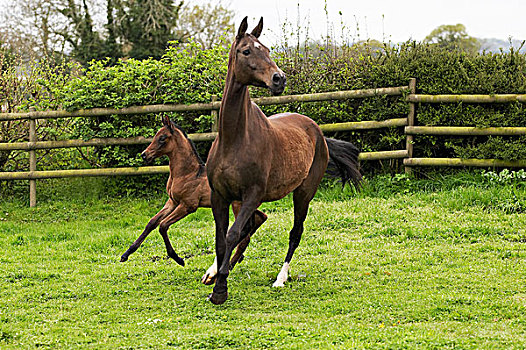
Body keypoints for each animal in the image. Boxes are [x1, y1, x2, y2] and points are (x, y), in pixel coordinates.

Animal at [119, 116, 268, 270]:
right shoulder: (172, 202)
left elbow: (163, 225)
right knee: (260, 218)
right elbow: (152, 222)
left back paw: (229, 263)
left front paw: (178, 259)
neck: (186, 173)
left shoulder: (188, 206)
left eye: (162, 138)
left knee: (247, 233)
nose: (144, 155)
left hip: (237, 205)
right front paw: (125, 254)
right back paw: (236, 259)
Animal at [206, 17, 364, 304]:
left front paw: (220, 289)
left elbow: (233, 233)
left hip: (303, 193)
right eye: (247, 51)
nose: (279, 79)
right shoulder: (219, 196)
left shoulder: (253, 195)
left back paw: (281, 277)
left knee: (294, 232)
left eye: (267, 50)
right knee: (252, 226)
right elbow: (222, 237)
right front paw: (216, 275)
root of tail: (317, 131)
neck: (234, 138)